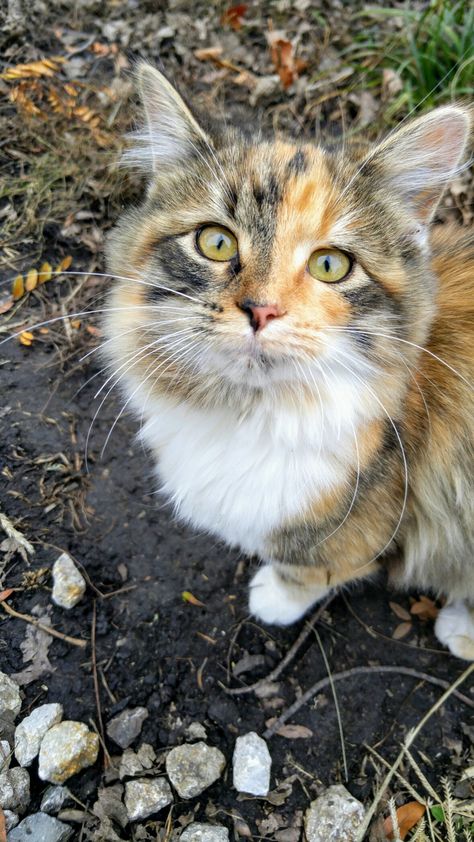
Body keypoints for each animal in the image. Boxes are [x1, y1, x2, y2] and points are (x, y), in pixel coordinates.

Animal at [103, 64, 474, 656]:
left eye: (330, 265)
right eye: (215, 242)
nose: (262, 310)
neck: (250, 415)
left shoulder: (357, 528)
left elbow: (311, 568)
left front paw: (274, 598)